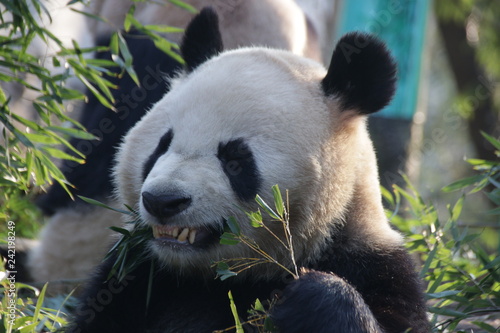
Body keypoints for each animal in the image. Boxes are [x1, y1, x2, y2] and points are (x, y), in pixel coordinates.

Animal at [64, 7, 428, 332]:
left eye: (235, 161)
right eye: (161, 146)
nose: (163, 201)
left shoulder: (375, 266)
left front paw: (309, 295)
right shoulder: (135, 275)